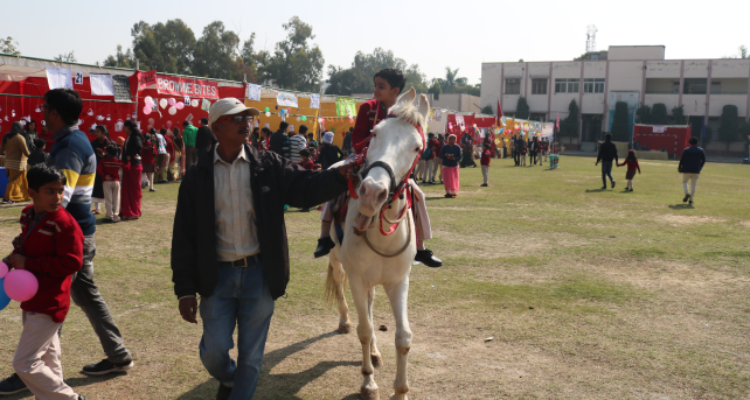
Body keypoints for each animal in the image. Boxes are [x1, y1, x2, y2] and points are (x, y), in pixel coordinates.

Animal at [328, 88, 432, 400]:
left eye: (417, 148)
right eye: (375, 133)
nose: (372, 192)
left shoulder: (398, 281)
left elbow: (403, 337)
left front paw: (401, 391)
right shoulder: (357, 279)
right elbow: (364, 329)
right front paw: (368, 383)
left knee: (372, 308)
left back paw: (374, 352)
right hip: (337, 260)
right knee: (339, 282)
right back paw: (344, 321)